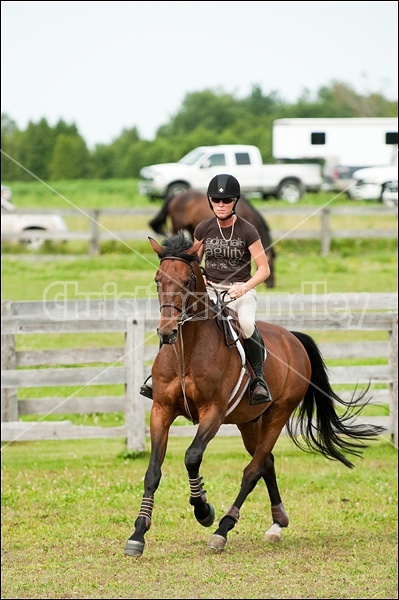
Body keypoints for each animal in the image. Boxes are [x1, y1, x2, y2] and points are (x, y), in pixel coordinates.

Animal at [125, 231, 384, 556]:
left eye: (186, 281)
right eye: (158, 280)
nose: (167, 332)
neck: (188, 350)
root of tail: (292, 339)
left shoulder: (213, 413)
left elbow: (192, 457)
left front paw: (203, 510)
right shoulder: (161, 409)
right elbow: (153, 472)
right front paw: (138, 533)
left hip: (277, 414)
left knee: (253, 469)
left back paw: (223, 529)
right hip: (249, 422)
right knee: (266, 462)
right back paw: (277, 522)